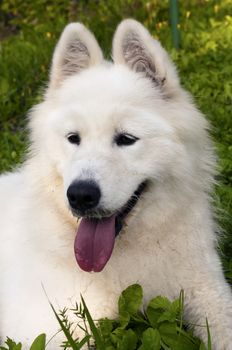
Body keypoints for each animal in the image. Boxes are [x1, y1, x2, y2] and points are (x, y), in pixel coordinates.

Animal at [0, 19, 232, 350]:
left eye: (126, 139)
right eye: (74, 138)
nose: (80, 195)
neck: (128, 251)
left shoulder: (209, 290)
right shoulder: (42, 328)